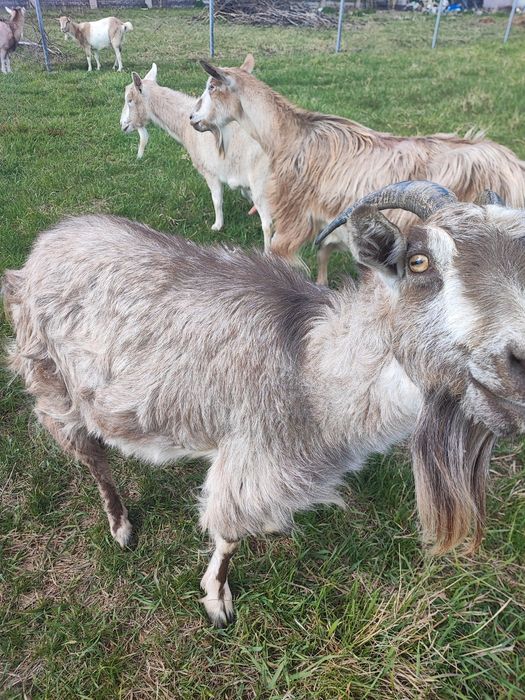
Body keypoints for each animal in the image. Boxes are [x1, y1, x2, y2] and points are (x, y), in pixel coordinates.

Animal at [4, 181, 525, 627]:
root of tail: (44, 244)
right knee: (91, 454)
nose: (518, 363)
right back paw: (121, 526)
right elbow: (230, 534)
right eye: (419, 262)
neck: (311, 368)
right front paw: (217, 602)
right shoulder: (252, 457)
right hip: (51, 378)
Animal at [120, 61, 272, 245]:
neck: (184, 123)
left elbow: (217, 200)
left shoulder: (210, 171)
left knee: (268, 225)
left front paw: (217, 226)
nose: (122, 126)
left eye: (129, 100)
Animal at [190, 59, 525, 284]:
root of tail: (513, 167)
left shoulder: (294, 219)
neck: (288, 138)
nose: (193, 119)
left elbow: (280, 253)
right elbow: (324, 254)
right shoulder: (329, 221)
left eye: (211, 87)